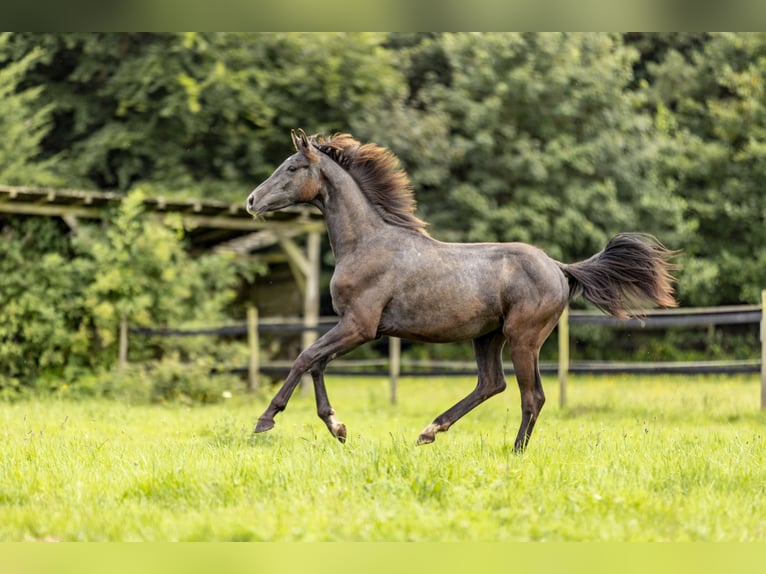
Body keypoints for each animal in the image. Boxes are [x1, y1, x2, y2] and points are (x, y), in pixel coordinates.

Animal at [244, 130, 680, 454]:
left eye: (292, 167)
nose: (251, 200)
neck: (366, 243)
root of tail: (559, 268)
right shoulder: (351, 326)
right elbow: (317, 363)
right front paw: (337, 427)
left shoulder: (360, 326)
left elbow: (305, 357)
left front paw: (265, 420)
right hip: (488, 336)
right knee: (491, 383)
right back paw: (430, 431)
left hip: (523, 338)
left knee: (531, 396)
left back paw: (514, 451)